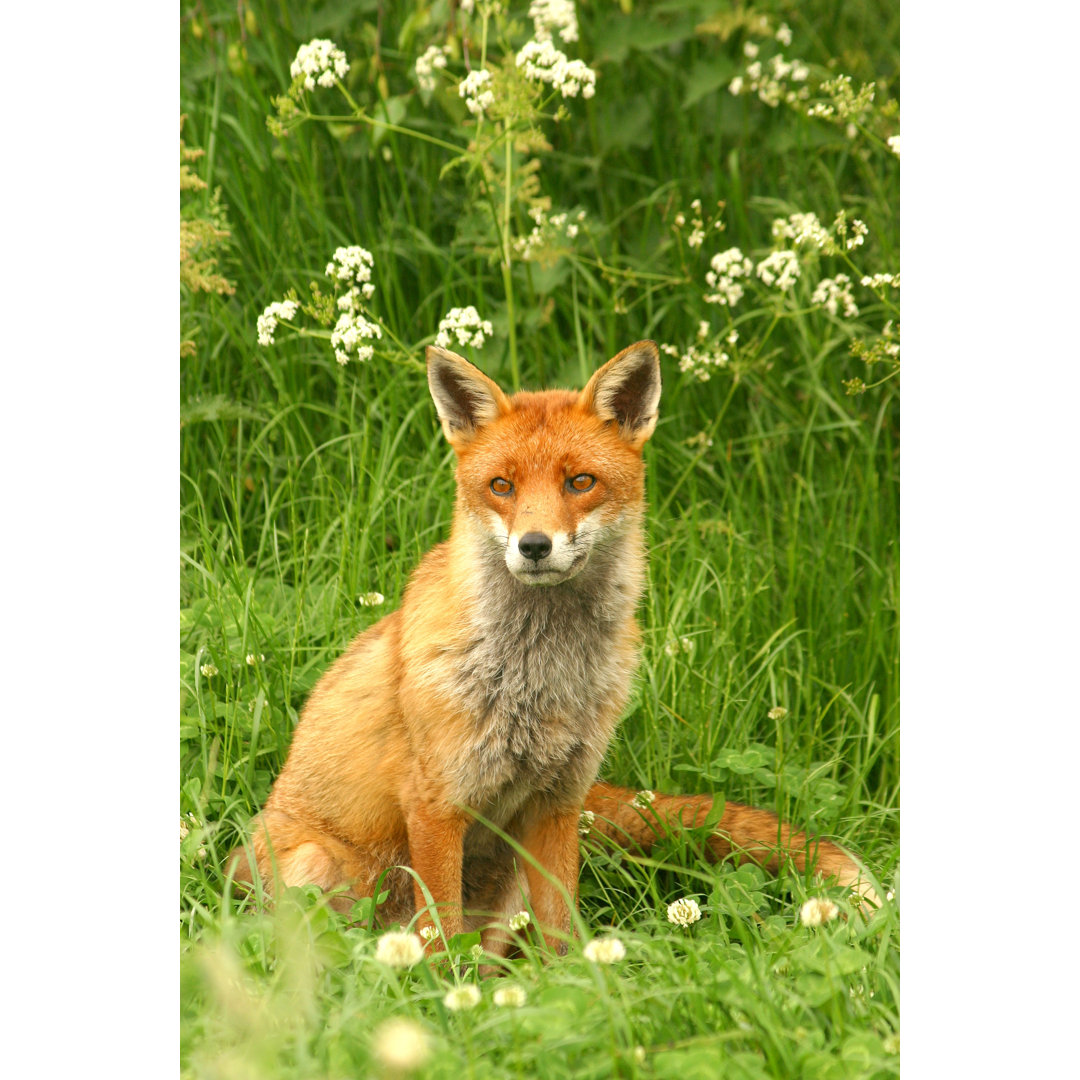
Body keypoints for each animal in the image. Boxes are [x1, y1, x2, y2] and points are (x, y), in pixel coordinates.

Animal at [230, 339, 876, 954]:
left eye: (579, 482)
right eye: (502, 486)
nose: (534, 545)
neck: (538, 676)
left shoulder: (558, 801)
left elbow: (562, 937)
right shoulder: (436, 805)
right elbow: (438, 944)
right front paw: (442, 991)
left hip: (514, 877)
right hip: (311, 870)